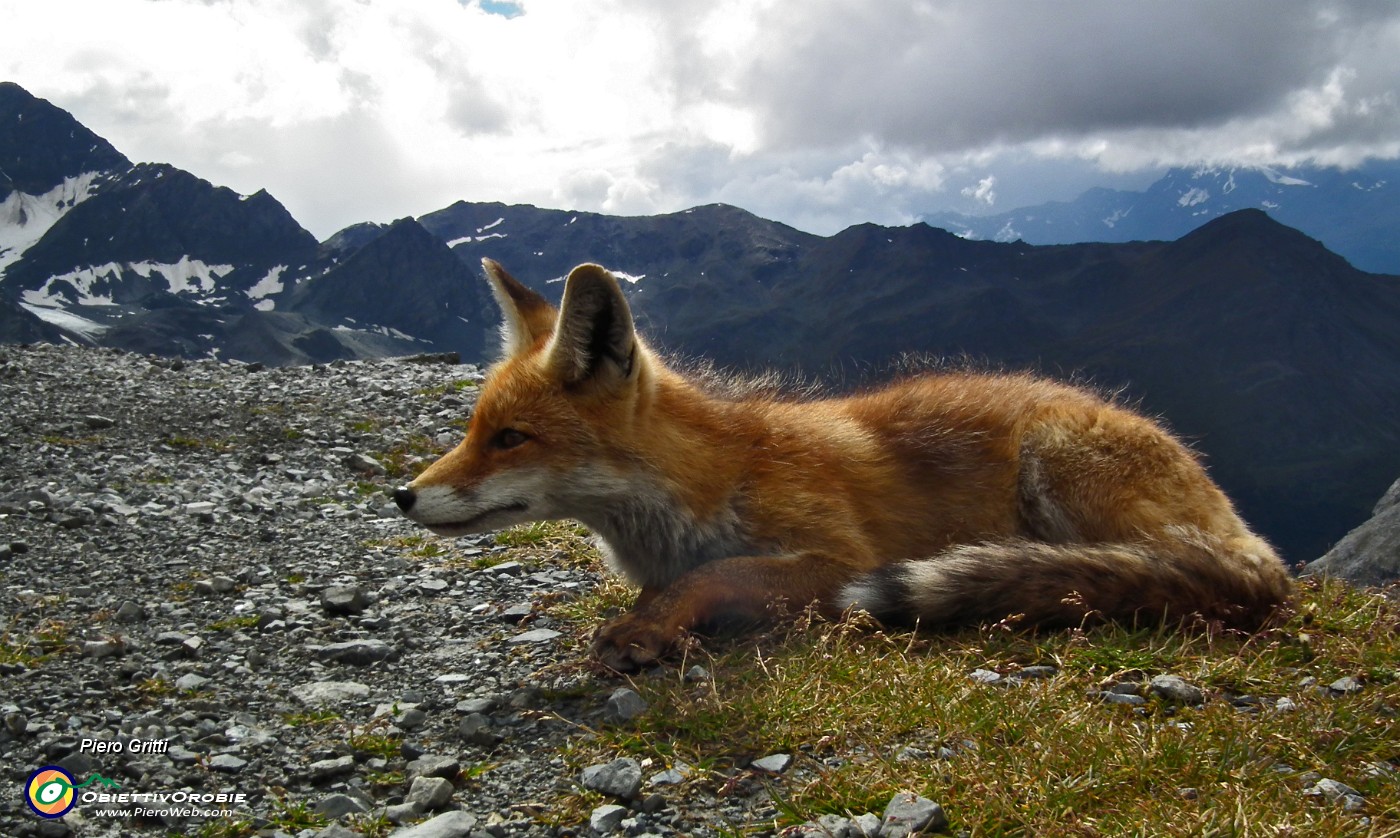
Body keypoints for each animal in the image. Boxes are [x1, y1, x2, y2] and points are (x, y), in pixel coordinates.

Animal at [392, 258, 1288, 671]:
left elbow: (714, 577)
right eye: (473, 428)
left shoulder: (838, 559)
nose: (402, 495)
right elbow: (676, 584)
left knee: (1160, 570)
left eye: (511, 438)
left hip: (1057, 462)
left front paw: (652, 626)